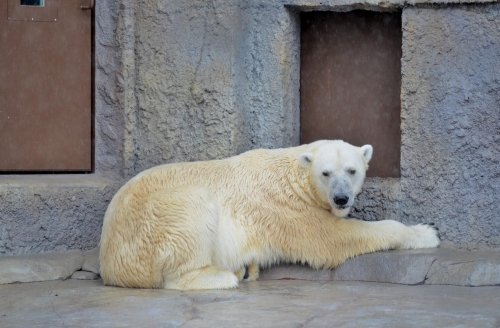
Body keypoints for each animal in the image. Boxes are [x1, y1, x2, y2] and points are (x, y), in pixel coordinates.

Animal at [99, 140, 440, 288]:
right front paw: (426, 232)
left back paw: (243, 269)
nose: (341, 198)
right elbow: (329, 239)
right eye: (326, 173)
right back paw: (224, 276)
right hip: (156, 219)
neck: (294, 176)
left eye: (352, 170)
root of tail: (110, 263)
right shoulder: (286, 209)